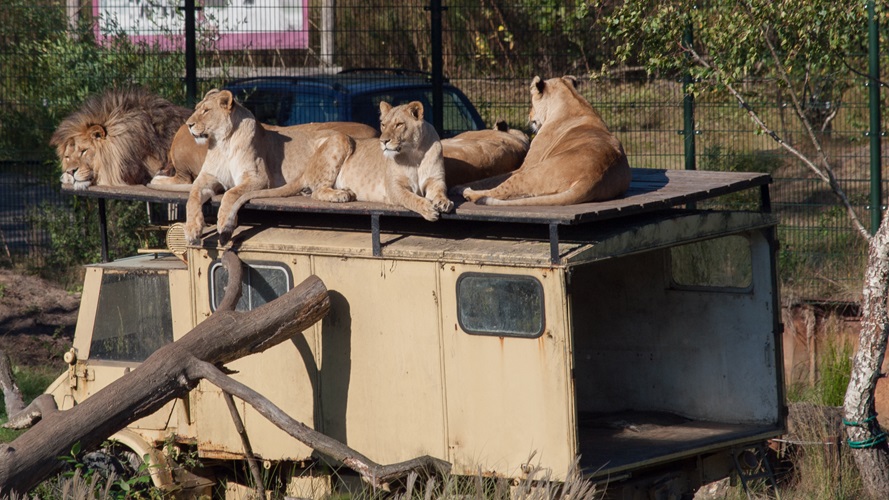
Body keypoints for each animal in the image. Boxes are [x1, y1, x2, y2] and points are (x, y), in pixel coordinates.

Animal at [450, 76, 632, 205]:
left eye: (531, 102)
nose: (529, 115)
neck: (574, 101)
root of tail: (593, 178)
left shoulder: (525, 166)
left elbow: (489, 179)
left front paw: (459, 187)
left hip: (530, 173)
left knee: (499, 191)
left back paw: (468, 193)